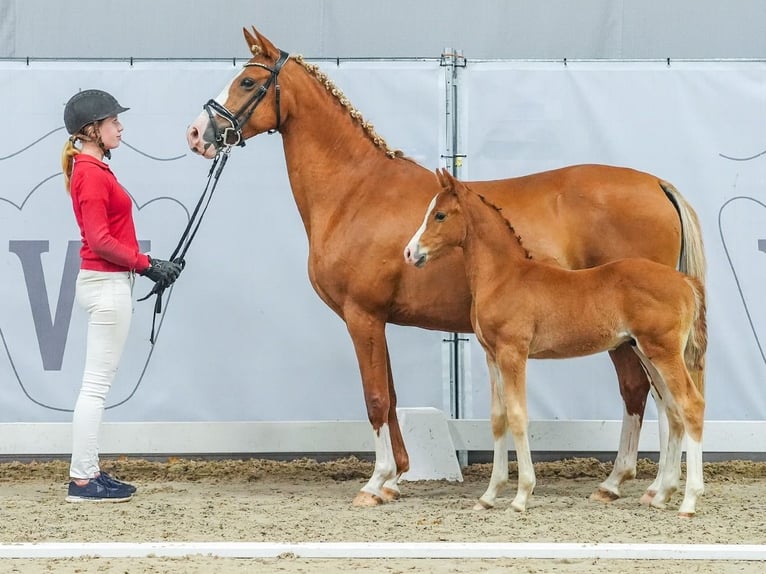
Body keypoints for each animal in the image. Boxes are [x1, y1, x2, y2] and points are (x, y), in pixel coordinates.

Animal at [404, 170, 712, 516]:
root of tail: (685, 282)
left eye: (440, 214)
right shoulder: (492, 356)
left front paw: (521, 496)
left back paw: (688, 500)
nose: (411, 253)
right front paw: (488, 496)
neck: (504, 276)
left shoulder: (513, 353)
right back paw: (661, 494)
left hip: (663, 352)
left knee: (691, 404)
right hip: (647, 352)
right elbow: (498, 419)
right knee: (672, 408)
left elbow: (517, 416)